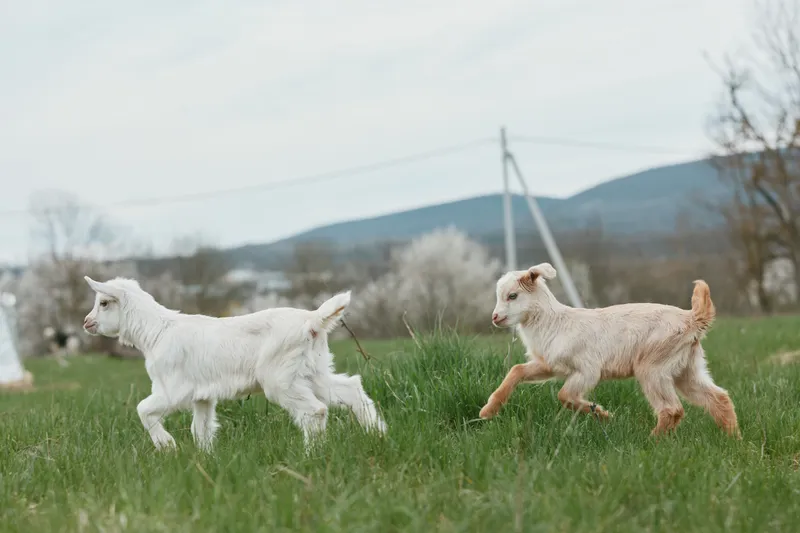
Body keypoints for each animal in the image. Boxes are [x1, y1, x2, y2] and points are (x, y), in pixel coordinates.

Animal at [82, 276, 386, 451]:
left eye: (104, 303)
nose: (86, 322)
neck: (157, 331)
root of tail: (312, 320)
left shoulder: (172, 390)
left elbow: (143, 409)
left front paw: (166, 445)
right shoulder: (202, 396)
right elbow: (201, 429)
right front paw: (206, 460)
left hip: (280, 378)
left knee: (315, 411)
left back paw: (313, 455)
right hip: (313, 371)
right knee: (351, 389)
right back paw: (378, 434)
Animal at [480, 263, 740, 438]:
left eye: (512, 296)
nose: (495, 318)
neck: (554, 323)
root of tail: (692, 319)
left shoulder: (587, 370)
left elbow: (565, 395)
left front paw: (604, 415)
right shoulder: (548, 365)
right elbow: (517, 370)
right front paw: (488, 411)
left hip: (652, 367)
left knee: (671, 409)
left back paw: (652, 441)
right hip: (686, 369)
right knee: (718, 398)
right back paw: (733, 438)